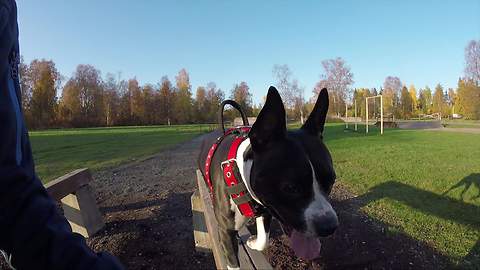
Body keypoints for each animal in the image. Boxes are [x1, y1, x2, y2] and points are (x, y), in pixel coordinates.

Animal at [198, 87, 338, 270]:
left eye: (331, 181)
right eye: (290, 188)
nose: (329, 226)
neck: (240, 172)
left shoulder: (265, 209)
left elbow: (263, 239)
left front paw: (252, 242)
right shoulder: (225, 231)